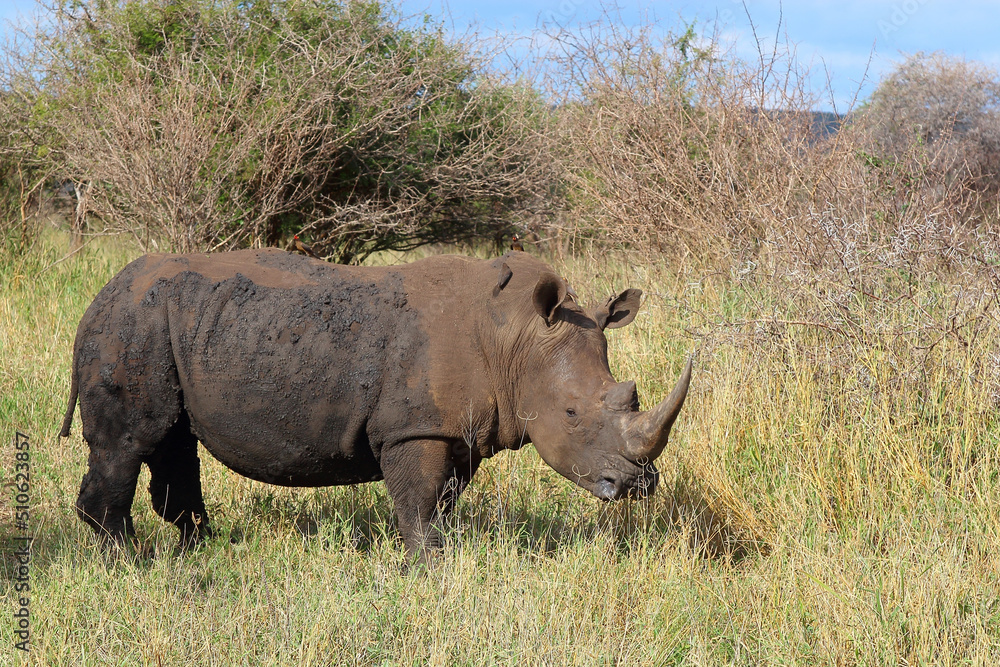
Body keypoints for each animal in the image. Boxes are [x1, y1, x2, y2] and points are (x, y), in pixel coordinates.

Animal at [60, 248, 692, 561]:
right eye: (572, 415)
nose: (636, 484)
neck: (514, 340)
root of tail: (97, 297)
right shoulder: (414, 427)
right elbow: (417, 505)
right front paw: (431, 570)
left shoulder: (456, 431)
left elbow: (439, 503)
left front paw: (440, 559)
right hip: (130, 327)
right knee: (130, 442)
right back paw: (132, 564)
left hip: (172, 325)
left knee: (172, 438)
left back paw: (199, 550)